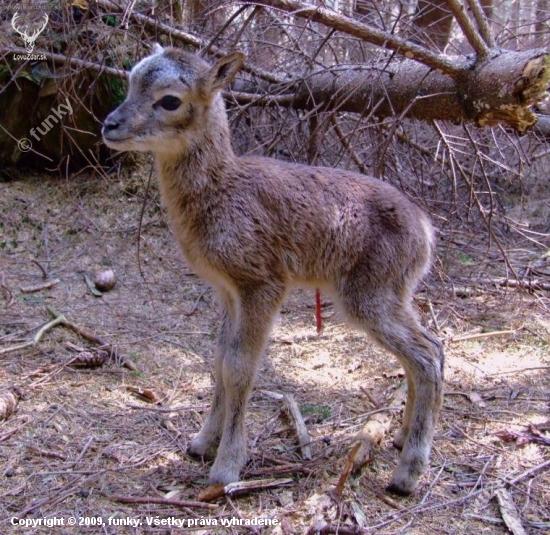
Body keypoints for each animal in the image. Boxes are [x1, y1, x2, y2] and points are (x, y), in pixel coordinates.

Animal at [103, 47, 446, 498]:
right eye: (129, 81)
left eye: (170, 100)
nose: (110, 125)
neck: (223, 192)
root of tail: (425, 230)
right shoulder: (227, 291)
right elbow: (218, 359)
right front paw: (201, 443)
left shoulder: (262, 283)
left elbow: (239, 367)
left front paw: (227, 467)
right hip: (394, 294)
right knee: (429, 348)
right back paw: (403, 438)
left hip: (370, 294)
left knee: (427, 356)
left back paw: (408, 474)